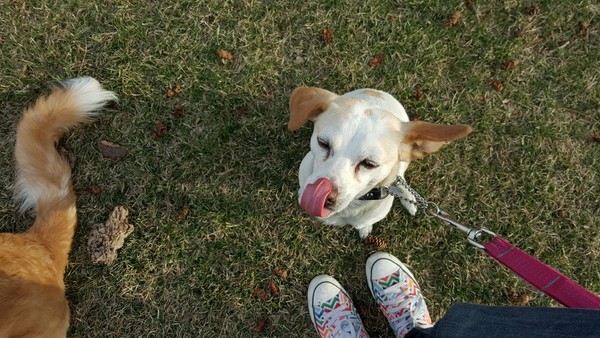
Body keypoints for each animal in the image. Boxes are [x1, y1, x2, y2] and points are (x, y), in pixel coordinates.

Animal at [288, 88, 472, 239]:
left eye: (369, 163)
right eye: (323, 143)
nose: (323, 197)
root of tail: (378, 92)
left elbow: (364, 223)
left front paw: (365, 229)